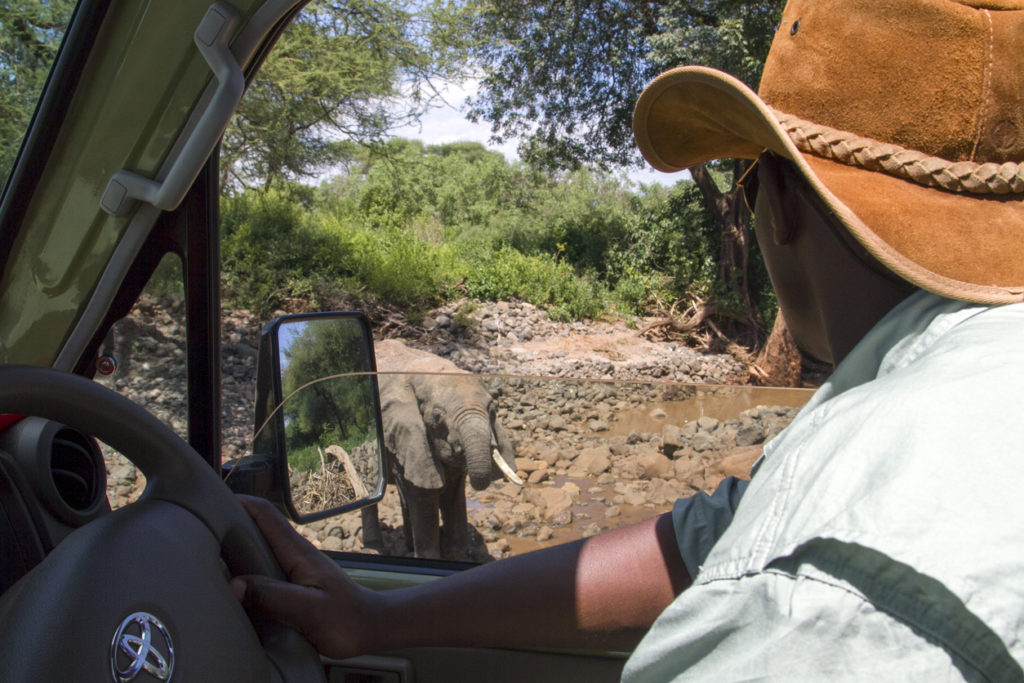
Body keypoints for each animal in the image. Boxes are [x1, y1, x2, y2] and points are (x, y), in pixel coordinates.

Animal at [360, 342, 520, 561]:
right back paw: (375, 546)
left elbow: (453, 490)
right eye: (436, 418)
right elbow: (422, 495)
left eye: (493, 410)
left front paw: (450, 549)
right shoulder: (404, 435)